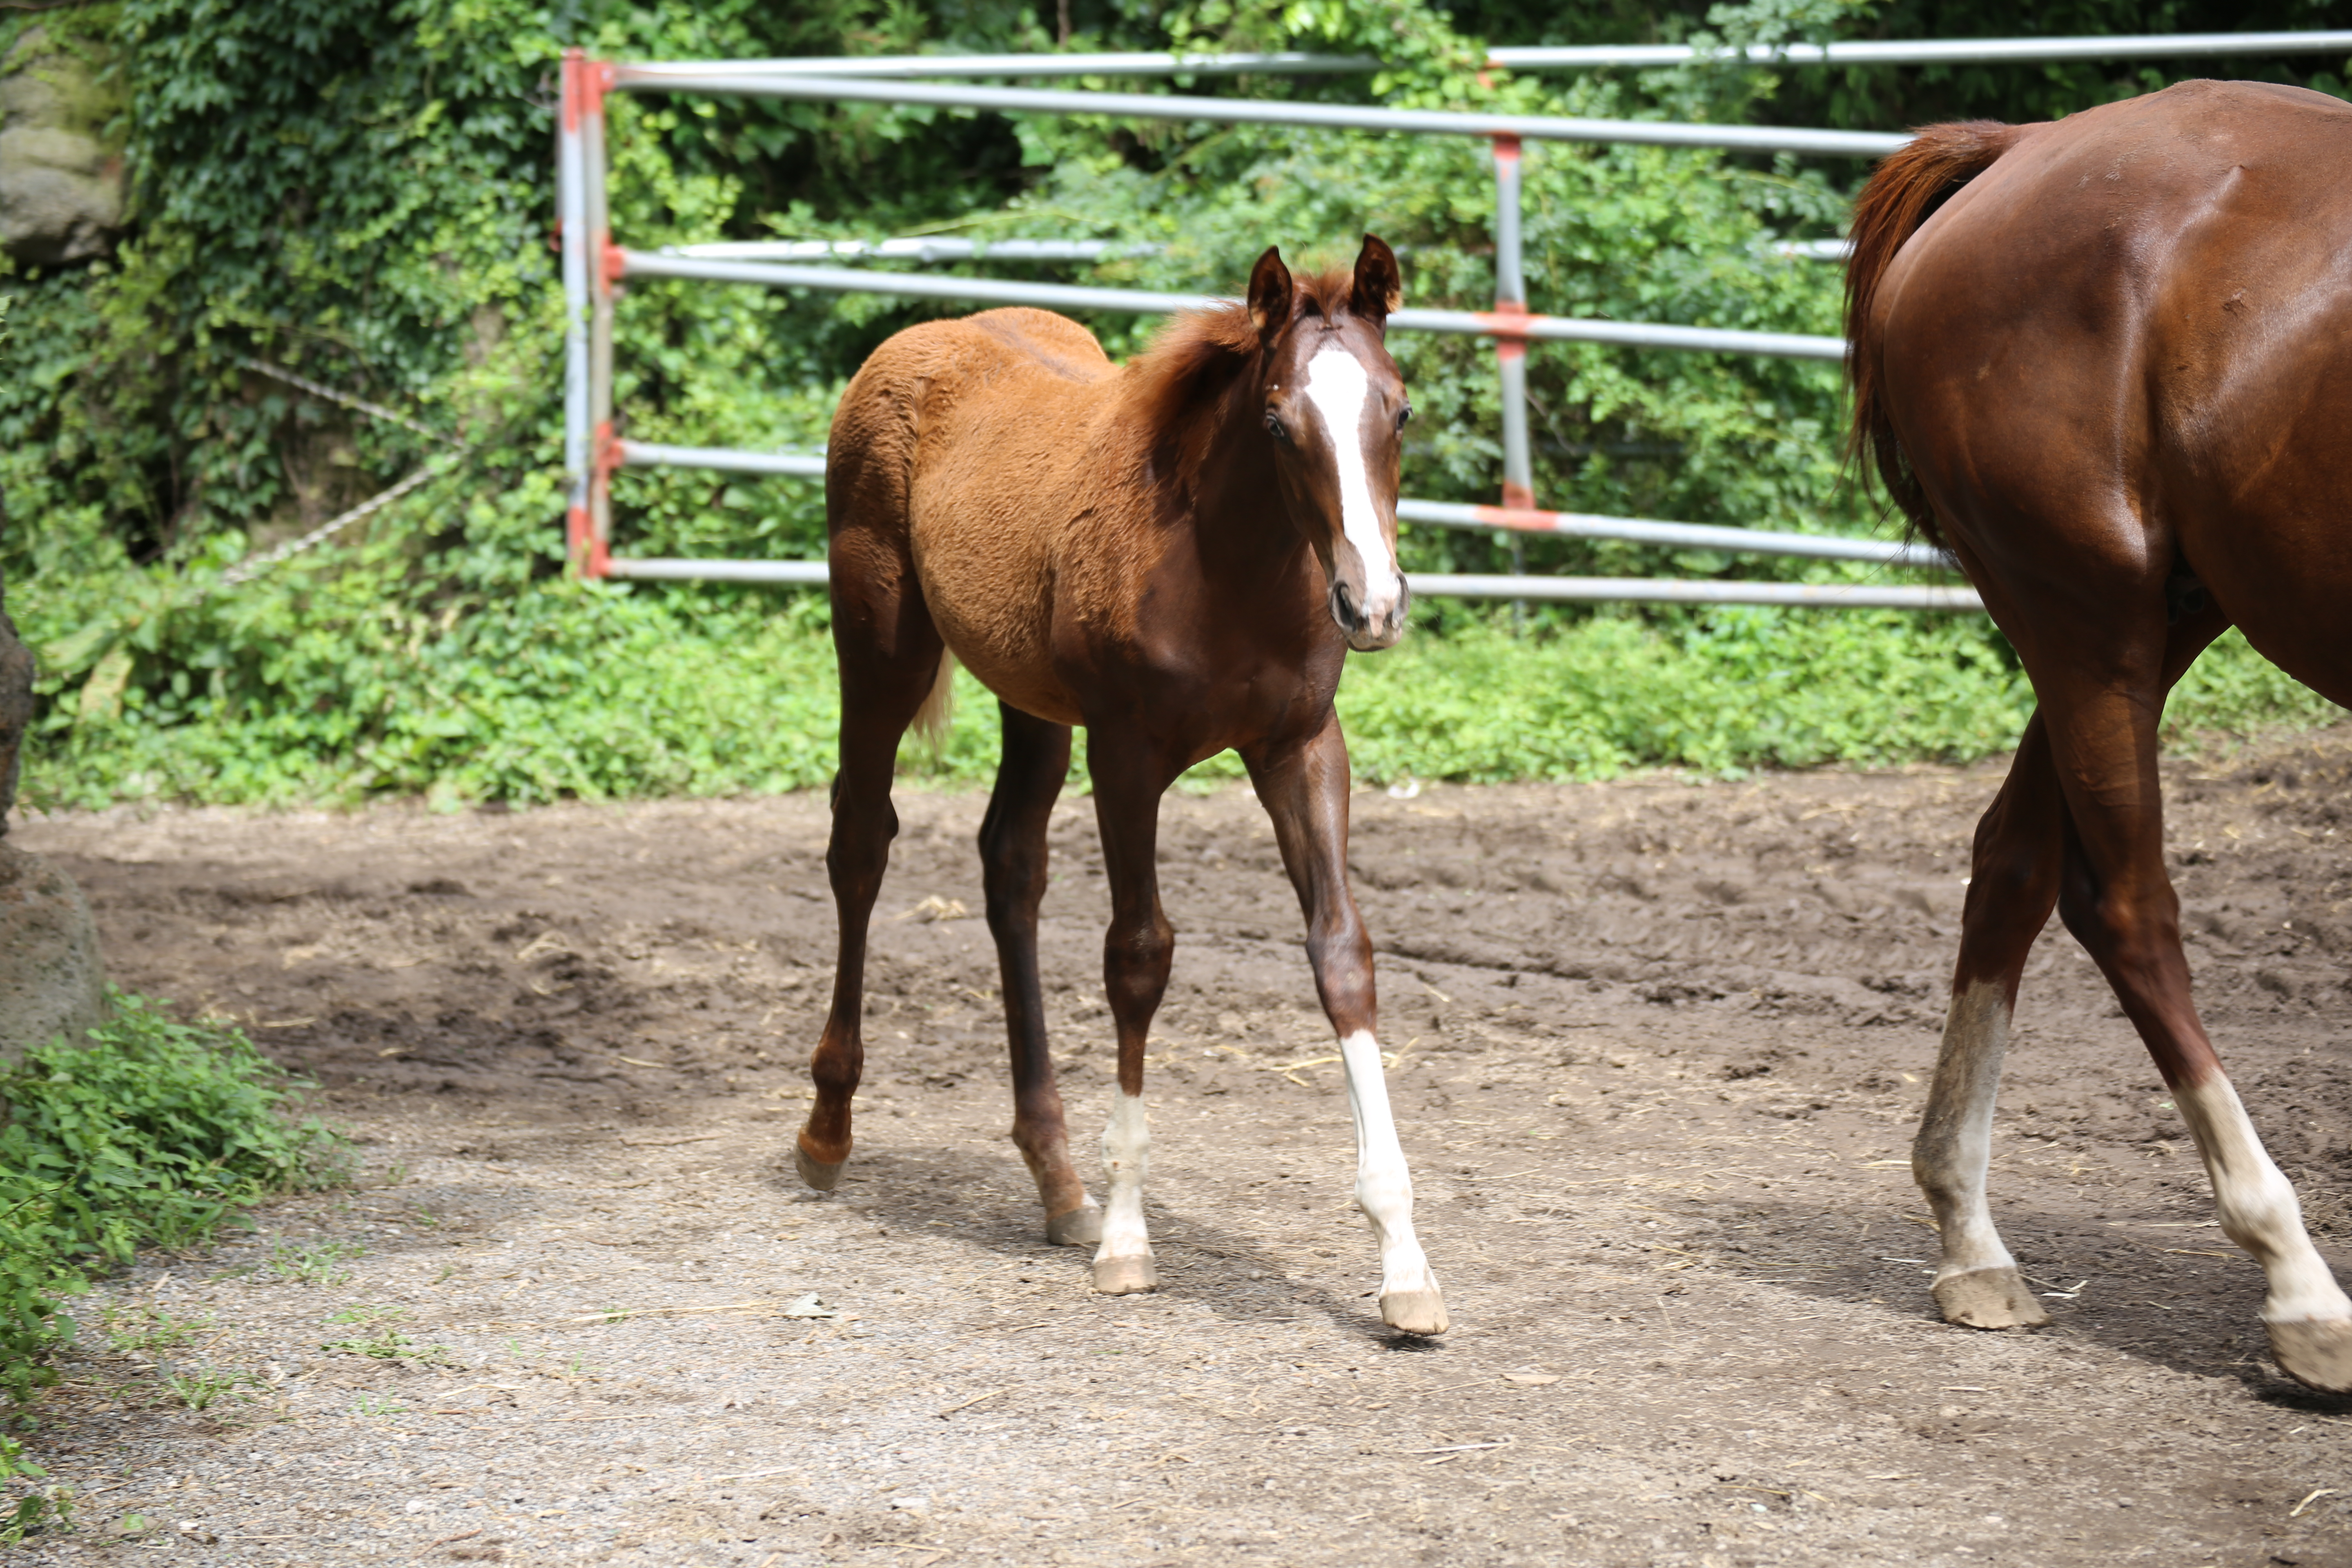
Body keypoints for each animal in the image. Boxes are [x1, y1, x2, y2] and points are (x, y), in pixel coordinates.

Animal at [800, 236, 1439, 1335]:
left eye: (1395, 410)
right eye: (1279, 422)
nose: (1372, 605)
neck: (1227, 568)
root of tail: (917, 339)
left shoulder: (1301, 748)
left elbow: (1341, 954)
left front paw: (1404, 1262)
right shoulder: (1128, 755)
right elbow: (1137, 958)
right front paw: (1130, 1240)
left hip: (1032, 704)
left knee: (1009, 866)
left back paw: (1057, 1179)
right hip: (880, 648)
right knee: (861, 843)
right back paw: (829, 1130)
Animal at [1853, 80, 2352, 1392]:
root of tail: (2021, 151)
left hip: (2161, 612)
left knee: (2013, 862)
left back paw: (1971, 1239)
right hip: (2092, 618)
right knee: (2121, 901)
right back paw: (2299, 1287)